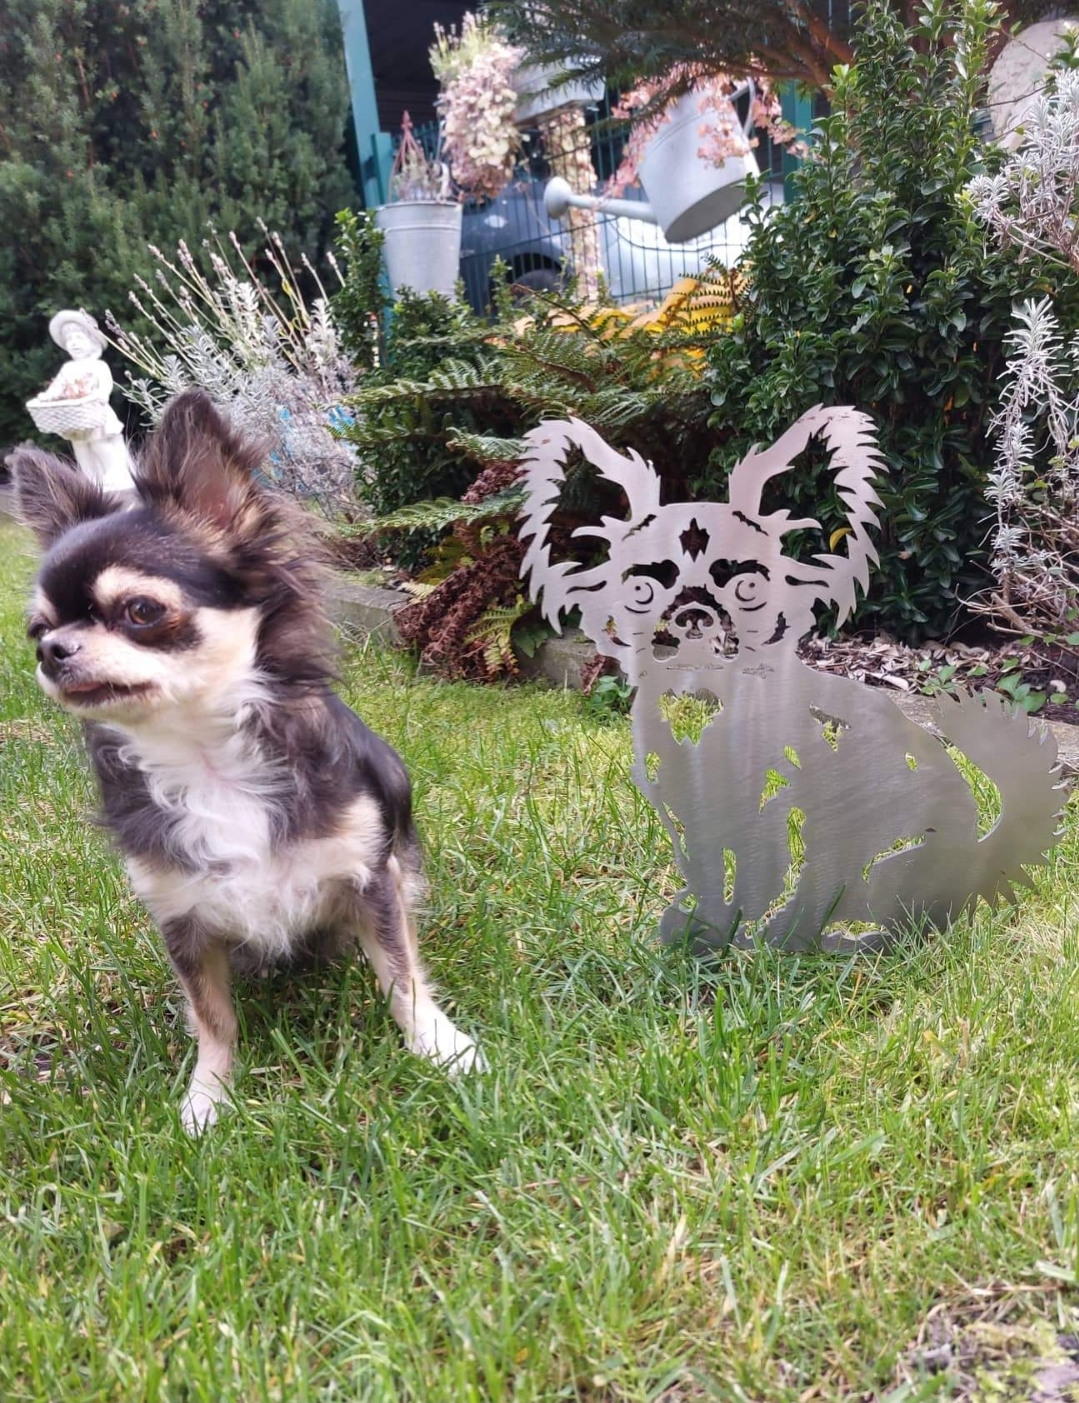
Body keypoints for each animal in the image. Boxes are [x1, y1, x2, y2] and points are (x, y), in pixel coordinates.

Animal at [10, 388, 481, 1132]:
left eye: (140, 610)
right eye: (38, 629)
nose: (51, 651)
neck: (206, 759)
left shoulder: (369, 878)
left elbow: (401, 974)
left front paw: (442, 1048)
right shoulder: (182, 918)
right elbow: (213, 1016)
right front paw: (208, 1097)